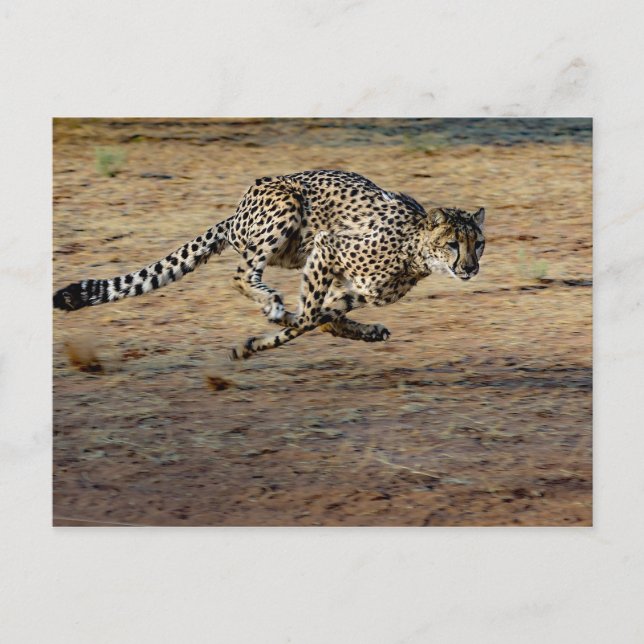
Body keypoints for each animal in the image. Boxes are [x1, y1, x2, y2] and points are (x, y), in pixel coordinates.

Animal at [53, 170, 485, 360]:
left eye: (478, 244)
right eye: (452, 244)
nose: (470, 268)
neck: (415, 251)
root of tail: (236, 211)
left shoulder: (356, 290)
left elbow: (321, 318)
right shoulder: (328, 247)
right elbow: (309, 316)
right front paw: (261, 337)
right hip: (286, 208)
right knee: (242, 274)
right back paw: (272, 304)